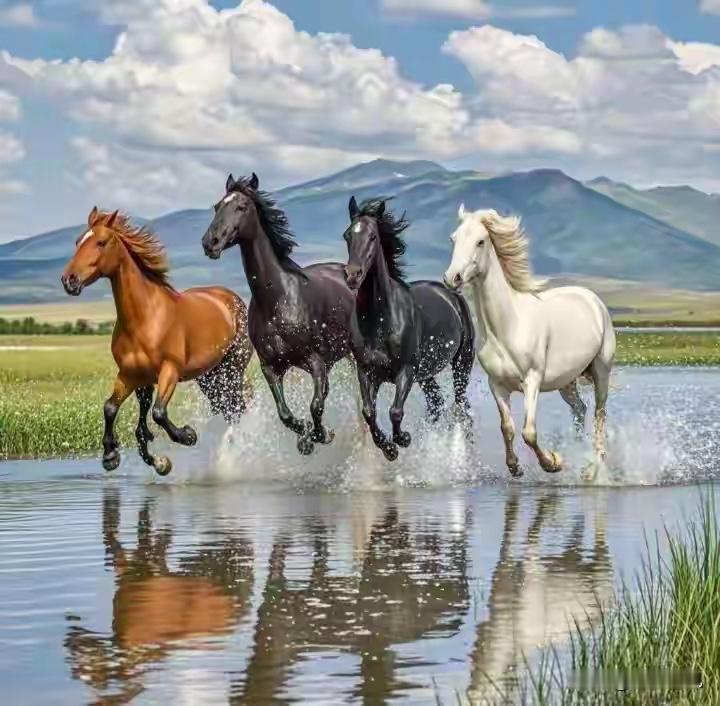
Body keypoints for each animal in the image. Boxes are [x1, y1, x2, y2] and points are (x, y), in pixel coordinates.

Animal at [61, 207, 253, 476]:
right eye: (78, 241)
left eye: (100, 242)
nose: (69, 280)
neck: (145, 318)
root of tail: (232, 299)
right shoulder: (131, 375)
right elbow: (111, 408)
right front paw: (112, 455)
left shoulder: (170, 370)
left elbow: (158, 413)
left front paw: (187, 436)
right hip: (209, 377)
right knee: (226, 408)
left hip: (232, 370)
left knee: (236, 408)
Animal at [201, 173, 355, 456]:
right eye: (217, 207)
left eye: (241, 207)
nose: (210, 243)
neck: (278, 300)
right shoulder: (271, 368)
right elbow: (285, 414)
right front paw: (305, 437)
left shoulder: (316, 362)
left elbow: (316, 405)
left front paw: (323, 434)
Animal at [342, 196, 475, 461]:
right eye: (347, 236)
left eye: (372, 236)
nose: (352, 275)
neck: (381, 321)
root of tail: (451, 294)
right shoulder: (366, 371)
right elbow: (369, 412)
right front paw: (389, 448)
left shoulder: (405, 371)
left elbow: (395, 411)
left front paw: (402, 439)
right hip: (426, 374)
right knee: (437, 404)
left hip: (461, 364)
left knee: (460, 406)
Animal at [443, 205, 615, 479]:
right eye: (453, 239)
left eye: (480, 241)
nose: (453, 278)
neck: (507, 326)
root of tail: (592, 299)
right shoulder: (497, 385)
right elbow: (507, 427)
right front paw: (515, 467)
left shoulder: (532, 380)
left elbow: (529, 432)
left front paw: (552, 463)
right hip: (566, 381)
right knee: (580, 409)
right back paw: (576, 455)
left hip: (601, 371)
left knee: (600, 414)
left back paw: (592, 469)